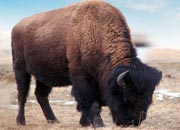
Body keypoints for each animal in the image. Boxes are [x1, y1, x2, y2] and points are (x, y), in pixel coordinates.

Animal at [11, 0, 162, 127]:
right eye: (125, 97)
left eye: (149, 98)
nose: (133, 122)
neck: (97, 32)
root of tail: (16, 26)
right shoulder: (83, 79)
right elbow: (91, 102)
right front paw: (98, 124)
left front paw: (85, 123)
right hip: (21, 70)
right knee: (22, 94)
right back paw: (20, 121)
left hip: (44, 76)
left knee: (41, 95)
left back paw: (53, 120)